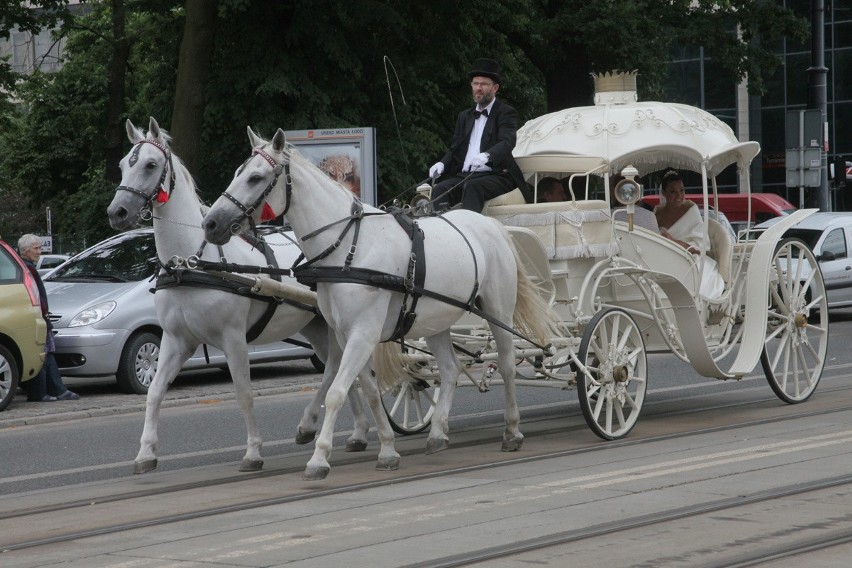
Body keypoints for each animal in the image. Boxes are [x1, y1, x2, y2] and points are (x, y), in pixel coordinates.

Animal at [107, 118, 380, 474]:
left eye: (151, 165)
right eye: (123, 165)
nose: (117, 212)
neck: (190, 264)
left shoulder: (233, 339)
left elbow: (244, 394)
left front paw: (253, 452)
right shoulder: (176, 340)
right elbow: (154, 392)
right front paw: (146, 453)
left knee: (338, 369)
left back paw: (318, 425)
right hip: (318, 325)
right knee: (339, 368)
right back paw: (354, 431)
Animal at [201, 129, 552, 480]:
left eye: (255, 177)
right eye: (238, 173)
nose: (211, 224)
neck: (349, 247)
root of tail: (491, 226)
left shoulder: (363, 332)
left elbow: (337, 391)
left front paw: (319, 457)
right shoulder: (347, 334)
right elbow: (368, 390)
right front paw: (386, 449)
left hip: (497, 310)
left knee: (506, 364)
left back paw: (512, 431)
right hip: (435, 320)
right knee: (451, 368)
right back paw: (438, 432)